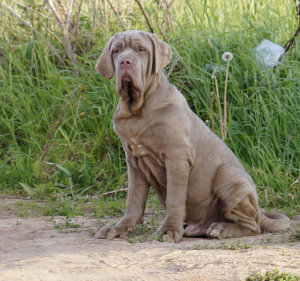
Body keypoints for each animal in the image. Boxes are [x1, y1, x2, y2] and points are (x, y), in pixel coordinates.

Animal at [94, 30, 290, 241]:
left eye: (141, 49)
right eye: (116, 51)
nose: (125, 61)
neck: (137, 109)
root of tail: (261, 211)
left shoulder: (177, 158)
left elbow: (174, 197)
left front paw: (169, 229)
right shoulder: (135, 163)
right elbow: (133, 200)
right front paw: (119, 228)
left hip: (227, 174)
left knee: (253, 226)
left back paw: (222, 229)